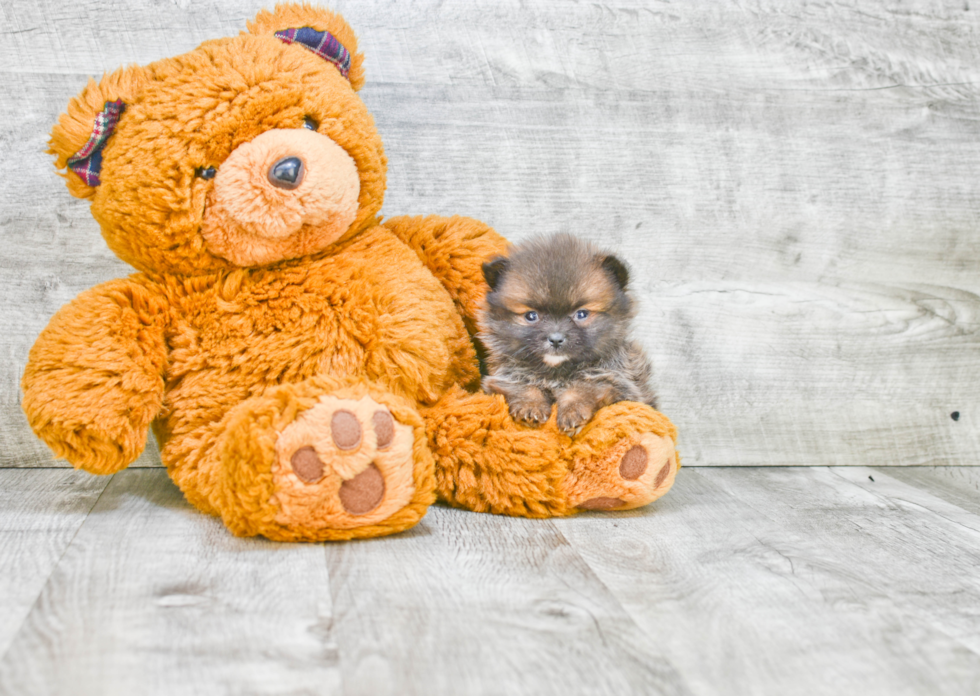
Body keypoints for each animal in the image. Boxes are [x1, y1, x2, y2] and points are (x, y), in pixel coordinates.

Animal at [476, 234, 656, 436]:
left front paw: (573, 412)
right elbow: (523, 386)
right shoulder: (505, 377)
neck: (556, 373)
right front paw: (530, 405)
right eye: (531, 316)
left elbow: (583, 388)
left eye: (582, 314)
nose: (555, 339)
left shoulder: (614, 381)